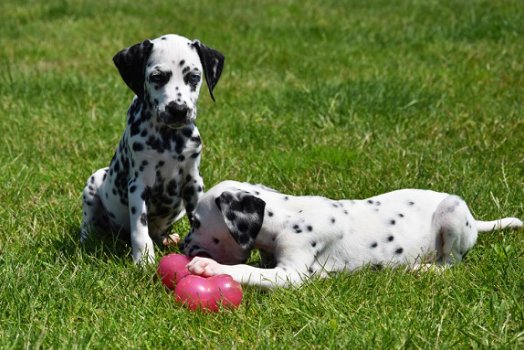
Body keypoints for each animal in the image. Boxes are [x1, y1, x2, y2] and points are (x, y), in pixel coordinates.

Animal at [81, 34, 224, 264]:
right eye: (157, 77)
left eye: (194, 77)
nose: (178, 110)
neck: (168, 139)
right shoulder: (138, 184)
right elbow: (140, 228)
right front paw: (144, 259)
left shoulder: (193, 182)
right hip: (95, 182)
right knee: (89, 223)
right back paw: (88, 239)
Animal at [183, 179, 520, 288]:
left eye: (196, 222)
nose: (183, 245)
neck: (286, 216)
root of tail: (476, 221)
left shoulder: (290, 274)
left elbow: (246, 270)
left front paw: (209, 267)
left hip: (452, 212)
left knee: (451, 264)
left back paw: (423, 269)